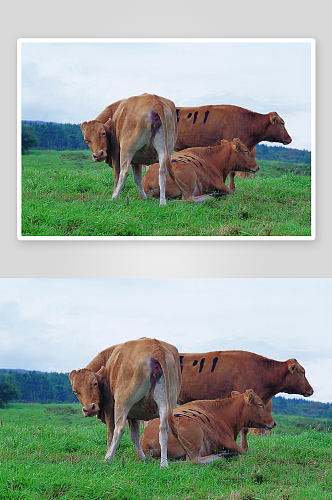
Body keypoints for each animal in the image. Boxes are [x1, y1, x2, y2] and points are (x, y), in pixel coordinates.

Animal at [141, 390, 276, 464]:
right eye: (260, 404)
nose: (274, 422)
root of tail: (145, 439)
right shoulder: (229, 441)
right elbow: (245, 452)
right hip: (195, 433)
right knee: (193, 460)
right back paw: (222, 456)